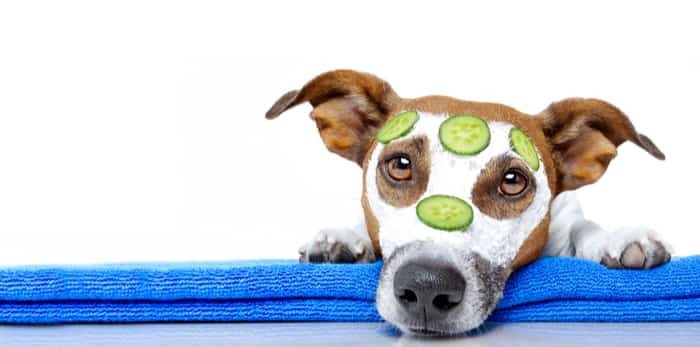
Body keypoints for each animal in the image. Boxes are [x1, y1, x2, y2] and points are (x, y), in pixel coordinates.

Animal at [266, 70, 668, 338]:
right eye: (399, 165)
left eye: (512, 181)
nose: (427, 287)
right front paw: (341, 240)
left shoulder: (565, 215)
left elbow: (583, 227)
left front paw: (616, 239)